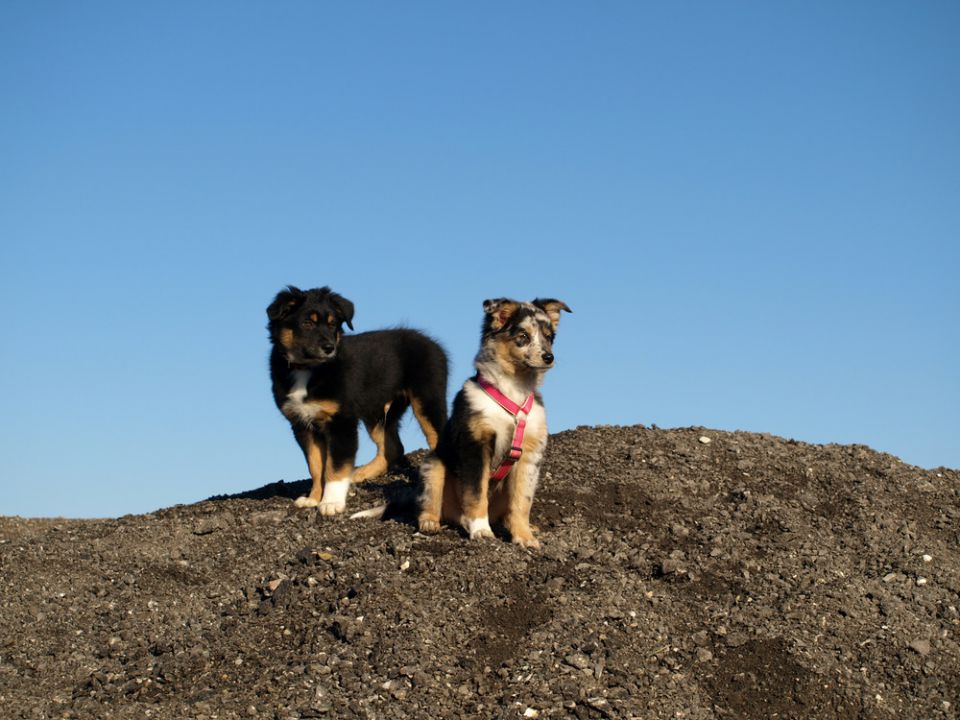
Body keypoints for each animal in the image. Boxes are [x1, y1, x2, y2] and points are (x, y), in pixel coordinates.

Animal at [268, 284, 448, 516]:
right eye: (307, 323)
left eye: (332, 324)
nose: (329, 348)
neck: (308, 369)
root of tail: (430, 342)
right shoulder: (302, 425)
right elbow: (316, 466)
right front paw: (313, 499)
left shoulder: (341, 422)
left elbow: (335, 467)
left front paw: (331, 502)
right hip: (377, 410)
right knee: (393, 447)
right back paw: (360, 473)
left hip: (426, 399)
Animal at [418, 296, 568, 544]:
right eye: (523, 336)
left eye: (549, 337)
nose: (549, 357)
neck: (513, 389)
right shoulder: (475, 444)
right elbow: (476, 493)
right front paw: (481, 530)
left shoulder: (530, 453)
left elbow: (522, 501)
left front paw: (524, 537)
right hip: (434, 463)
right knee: (431, 498)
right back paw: (430, 522)